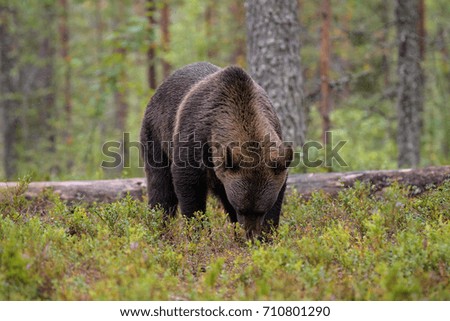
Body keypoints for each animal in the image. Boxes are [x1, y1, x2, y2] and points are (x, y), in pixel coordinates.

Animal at [142, 62, 294, 238]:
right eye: (241, 208)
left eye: (261, 210)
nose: (250, 234)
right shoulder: (194, 138)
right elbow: (188, 187)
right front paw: (199, 233)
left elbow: (277, 197)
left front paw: (267, 234)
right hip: (157, 135)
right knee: (161, 188)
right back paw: (159, 228)